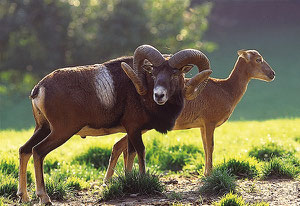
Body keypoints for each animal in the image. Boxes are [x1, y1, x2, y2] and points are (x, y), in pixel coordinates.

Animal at [17, 44, 212, 204]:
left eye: (174, 74)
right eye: (154, 73)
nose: (159, 95)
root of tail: (39, 88)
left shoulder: (133, 132)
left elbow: (129, 154)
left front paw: (128, 180)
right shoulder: (134, 129)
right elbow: (140, 152)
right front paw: (142, 180)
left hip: (43, 129)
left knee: (24, 150)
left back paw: (24, 197)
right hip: (61, 132)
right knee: (38, 151)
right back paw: (44, 198)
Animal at [104, 48, 276, 180]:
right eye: (258, 59)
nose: (272, 74)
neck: (226, 89)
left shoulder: (201, 126)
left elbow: (205, 146)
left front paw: (206, 172)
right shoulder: (209, 122)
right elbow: (211, 146)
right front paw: (209, 174)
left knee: (119, 145)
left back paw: (110, 180)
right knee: (121, 146)